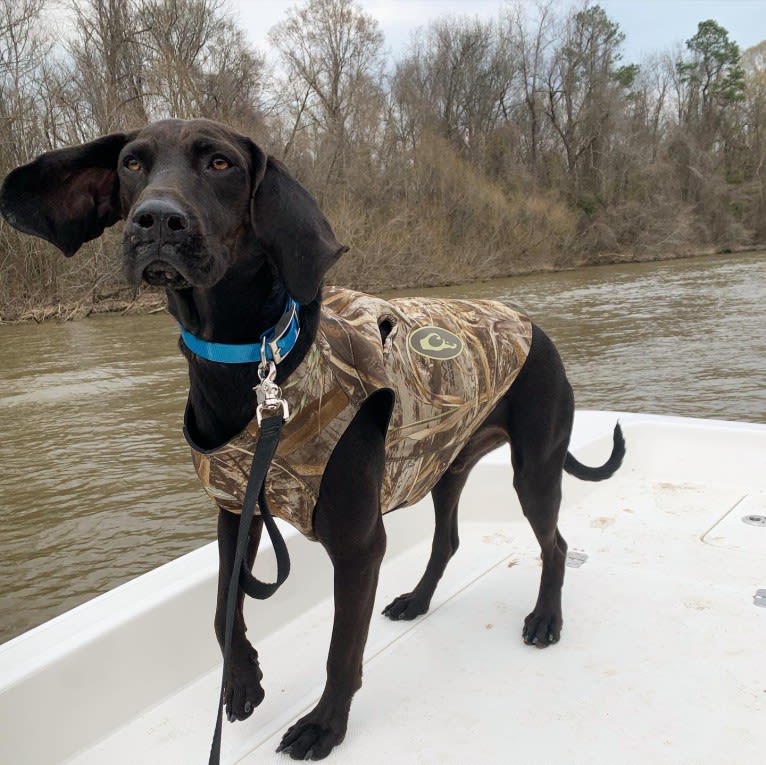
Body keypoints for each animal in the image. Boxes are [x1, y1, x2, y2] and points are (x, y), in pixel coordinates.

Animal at [0, 118, 628, 760]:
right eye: (131, 163)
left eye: (221, 164)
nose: (156, 221)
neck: (255, 366)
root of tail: (532, 325)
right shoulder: (237, 509)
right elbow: (222, 604)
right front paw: (242, 680)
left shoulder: (358, 544)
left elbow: (340, 649)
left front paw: (325, 725)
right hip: (442, 465)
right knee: (448, 540)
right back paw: (418, 600)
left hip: (534, 468)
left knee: (554, 544)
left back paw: (546, 619)